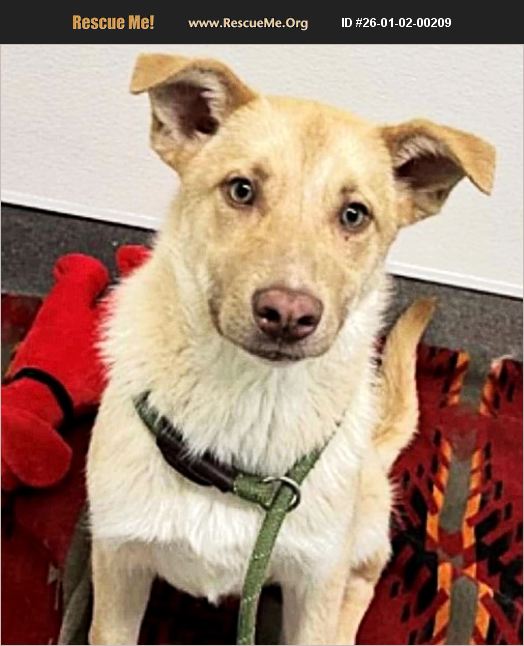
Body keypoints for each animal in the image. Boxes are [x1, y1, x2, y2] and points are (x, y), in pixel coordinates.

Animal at [86, 53, 495, 645]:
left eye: (354, 214)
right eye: (241, 190)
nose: (288, 314)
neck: (248, 401)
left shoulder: (314, 581)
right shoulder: (118, 565)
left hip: (361, 526)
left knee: (365, 577)